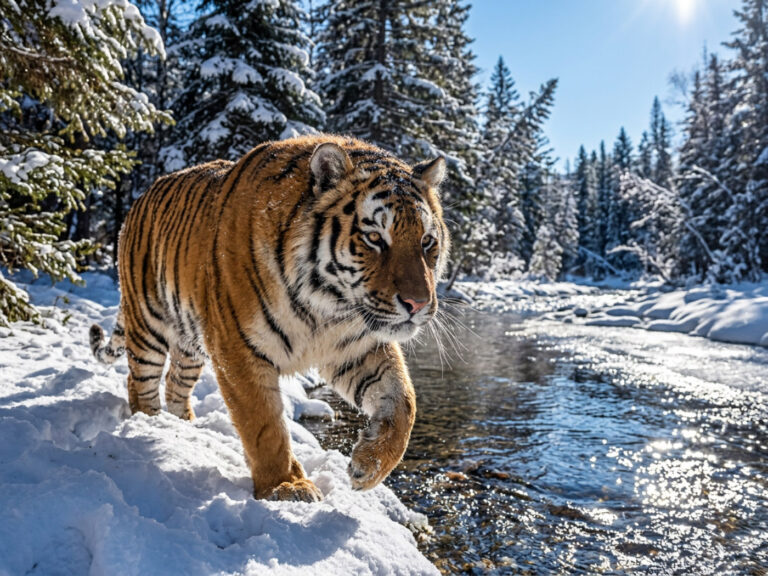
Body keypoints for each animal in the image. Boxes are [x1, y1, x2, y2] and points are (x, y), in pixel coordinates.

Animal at [89, 134, 449, 502]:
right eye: (374, 237)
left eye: (427, 241)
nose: (418, 303)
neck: (328, 305)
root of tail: (140, 198)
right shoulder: (238, 348)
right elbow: (264, 425)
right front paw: (285, 486)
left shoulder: (357, 344)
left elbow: (404, 402)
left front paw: (368, 466)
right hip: (147, 327)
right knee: (139, 385)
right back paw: (151, 426)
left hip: (189, 345)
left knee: (176, 384)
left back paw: (184, 428)